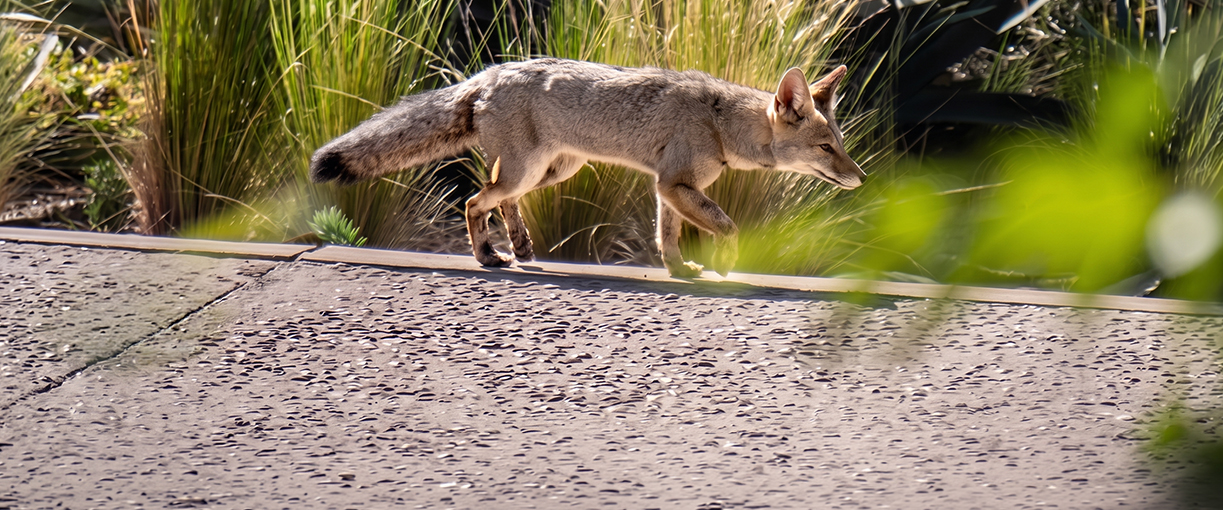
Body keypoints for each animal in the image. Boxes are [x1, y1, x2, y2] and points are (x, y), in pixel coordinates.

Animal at [310, 58, 865, 278]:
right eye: (826, 149)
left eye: (839, 145)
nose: (861, 177)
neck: (719, 120)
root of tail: (489, 73)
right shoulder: (674, 183)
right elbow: (726, 225)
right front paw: (725, 263)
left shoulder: (668, 188)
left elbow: (667, 237)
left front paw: (679, 270)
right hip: (529, 170)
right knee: (473, 200)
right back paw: (488, 256)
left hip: (552, 172)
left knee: (498, 199)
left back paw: (520, 245)